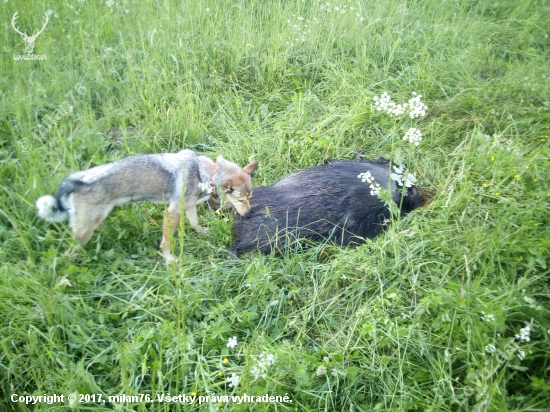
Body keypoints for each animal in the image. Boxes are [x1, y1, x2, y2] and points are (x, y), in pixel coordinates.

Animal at [37, 150, 260, 262]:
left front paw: (202, 232)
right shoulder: (171, 213)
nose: (249, 213)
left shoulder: (188, 207)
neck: (203, 173)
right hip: (84, 231)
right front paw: (169, 260)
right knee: (67, 254)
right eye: (242, 200)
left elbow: (194, 222)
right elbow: (166, 242)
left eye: (250, 197)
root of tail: (76, 181)